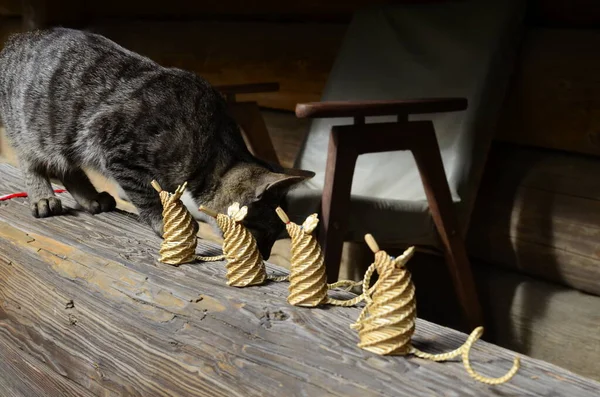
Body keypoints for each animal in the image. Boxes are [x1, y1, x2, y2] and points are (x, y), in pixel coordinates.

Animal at [2, 27, 314, 256]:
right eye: (264, 232)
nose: (265, 256)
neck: (211, 150)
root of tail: (15, 41)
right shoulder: (113, 142)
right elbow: (146, 193)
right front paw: (164, 222)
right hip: (33, 129)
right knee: (32, 161)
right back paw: (42, 196)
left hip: (63, 138)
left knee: (68, 168)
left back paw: (91, 197)